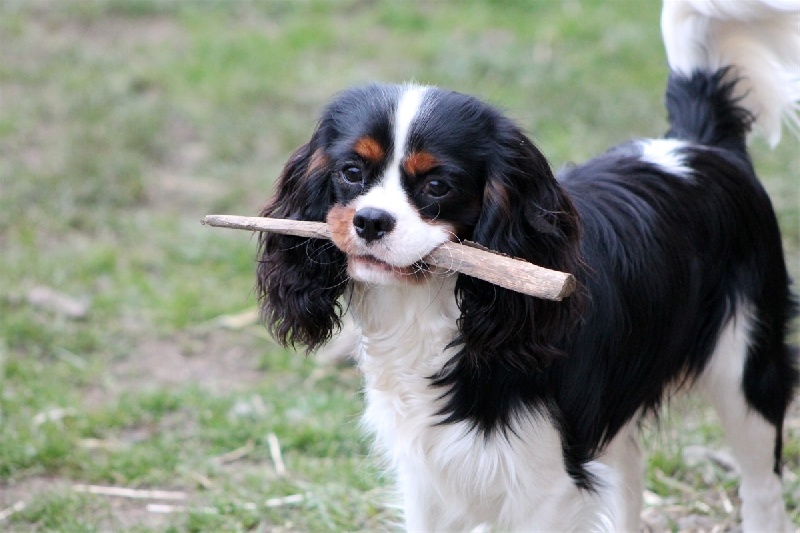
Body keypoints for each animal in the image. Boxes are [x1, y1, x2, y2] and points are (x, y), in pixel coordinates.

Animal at [256, 2, 800, 528]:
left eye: (437, 186)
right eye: (351, 172)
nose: (370, 221)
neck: (433, 309)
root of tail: (700, 144)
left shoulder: (547, 486)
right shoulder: (428, 480)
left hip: (746, 369)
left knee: (762, 490)